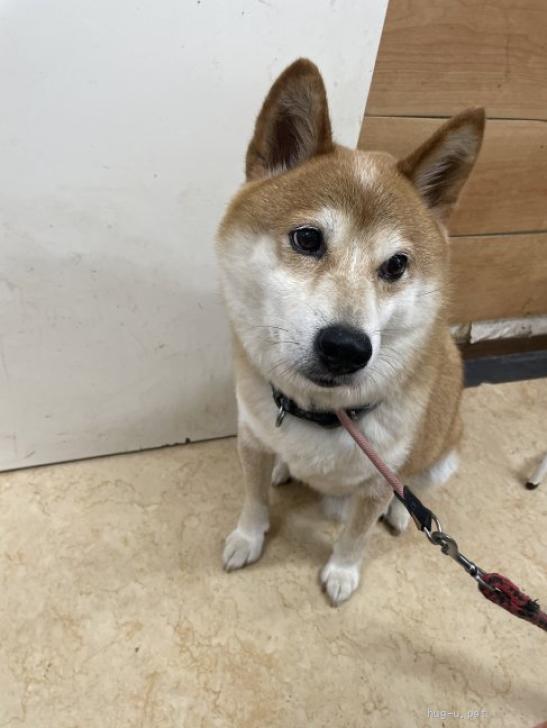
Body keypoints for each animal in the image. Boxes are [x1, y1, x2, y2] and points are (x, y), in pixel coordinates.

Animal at [216, 59, 484, 605]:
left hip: (442, 454)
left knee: (418, 493)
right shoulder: (251, 439)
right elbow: (254, 499)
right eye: (307, 238)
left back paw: (403, 514)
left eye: (397, 265)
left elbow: (356, 533)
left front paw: (342, 572)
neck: (320, 415)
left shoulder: (378, 481)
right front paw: (247, 538)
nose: (345, 347)